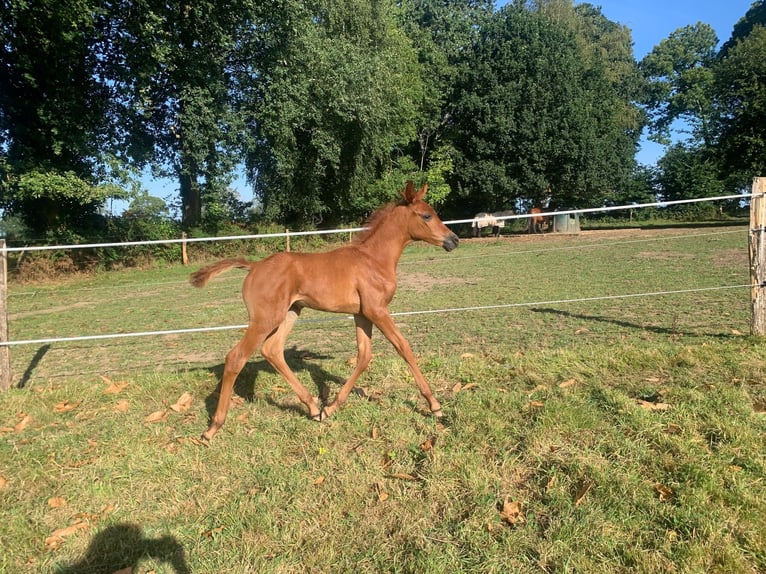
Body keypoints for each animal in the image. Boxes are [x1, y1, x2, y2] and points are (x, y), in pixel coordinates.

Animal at [190, 182, 462, 444]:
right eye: (426, 215)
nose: (454, 240)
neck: (374, 259)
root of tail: (254, 265)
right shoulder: (377, 310)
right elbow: (403, 347)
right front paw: (435, 405)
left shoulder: (362, 314)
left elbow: (364, 356)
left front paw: (330, 407)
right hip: (265, 319)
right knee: (236, 357)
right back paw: (212, 428)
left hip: (290, 312)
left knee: (272, 350)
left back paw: (313, 408)